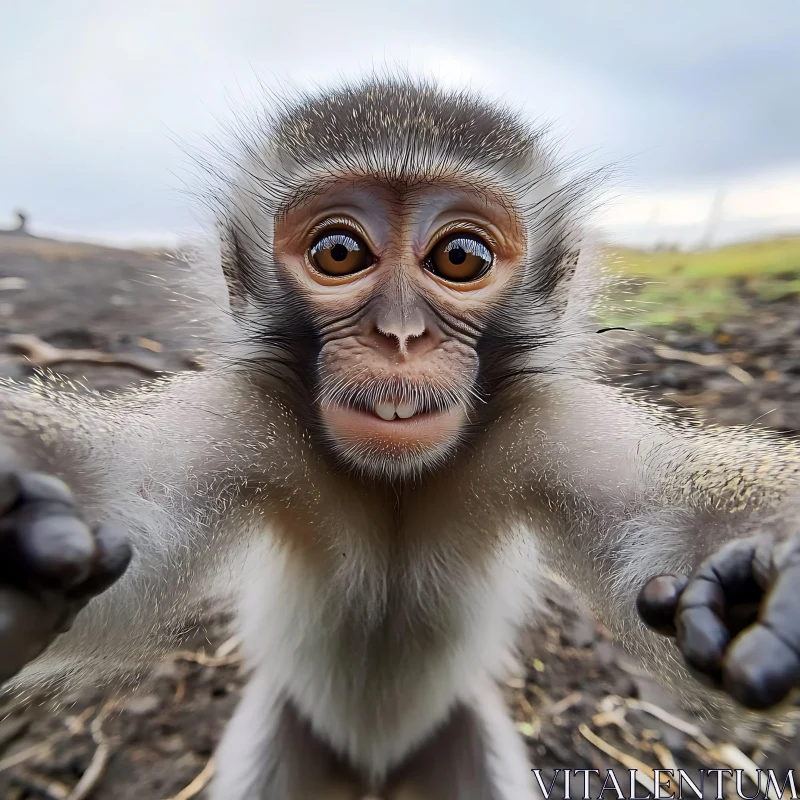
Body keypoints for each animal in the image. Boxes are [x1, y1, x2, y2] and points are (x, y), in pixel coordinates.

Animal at [1, 76, 800, 800]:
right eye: (338, 252)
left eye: (460, 258)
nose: (401, 336)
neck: (395, 490)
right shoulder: (244, 417)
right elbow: (125, 517)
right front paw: (24, 528)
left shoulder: (550, 425)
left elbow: (661, 524)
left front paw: (760, 584)